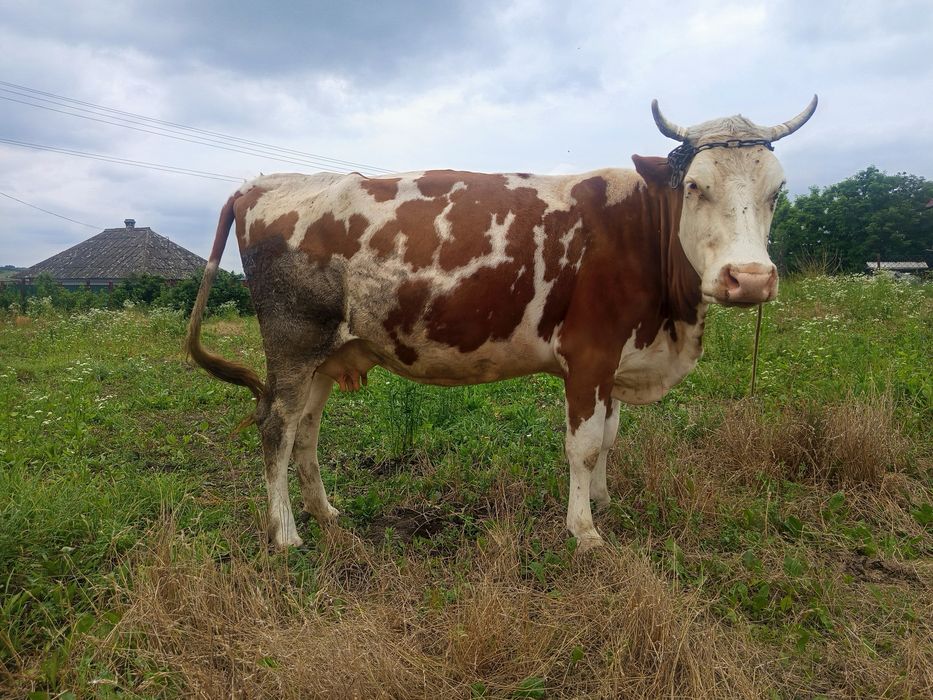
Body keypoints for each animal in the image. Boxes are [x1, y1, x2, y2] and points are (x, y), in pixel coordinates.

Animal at [185, 97, 817, 550]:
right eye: (695, 186)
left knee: (306, 430)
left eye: (777, 191)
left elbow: (611, 436)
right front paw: (585, 530)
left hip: (326, 352)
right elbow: (585, 444)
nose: (750, 278)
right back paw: (286, 533)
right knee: (276, 425)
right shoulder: (589, 354)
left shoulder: (617, 358)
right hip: (293, 343)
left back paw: (324, 512)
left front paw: (604, 502)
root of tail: (264, 182)